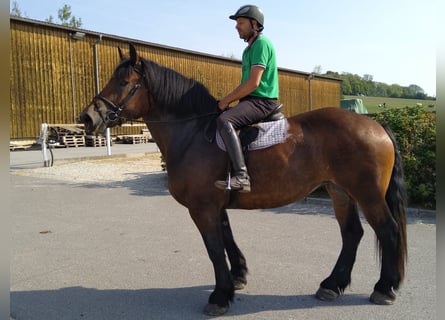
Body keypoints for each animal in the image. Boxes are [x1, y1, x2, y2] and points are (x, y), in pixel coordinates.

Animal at [79, 43, 406, 316]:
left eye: (123, 83)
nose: (87, 118)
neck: (194, 133)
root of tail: (376, 125)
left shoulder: (202, 208)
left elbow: (214, 249)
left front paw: (219, 296)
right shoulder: (215, 205)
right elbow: (227, 239)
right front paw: (237, 277)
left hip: (367, 194)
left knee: (387, 230)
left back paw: (384, 288)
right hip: (340, 191)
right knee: (352, 233)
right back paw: (332, 284)